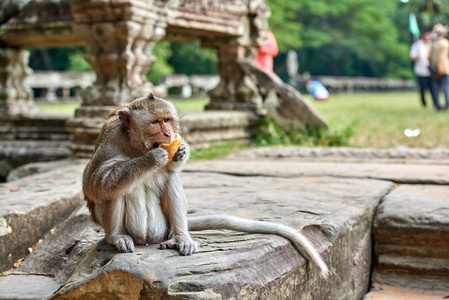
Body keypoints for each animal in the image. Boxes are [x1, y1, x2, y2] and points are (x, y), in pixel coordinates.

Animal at [82, 92, 328, 278]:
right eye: (155, 122)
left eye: (167, 120)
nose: (168, 134)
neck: (136, 147)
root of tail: (149, 239)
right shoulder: (111, 138)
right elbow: (95, 182)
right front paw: (153, 158)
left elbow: (171, 171)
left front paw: (181, 151)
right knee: (113, 190)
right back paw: (116, 237)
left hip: (163, 226)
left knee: (171, 180)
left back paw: (181, 238)